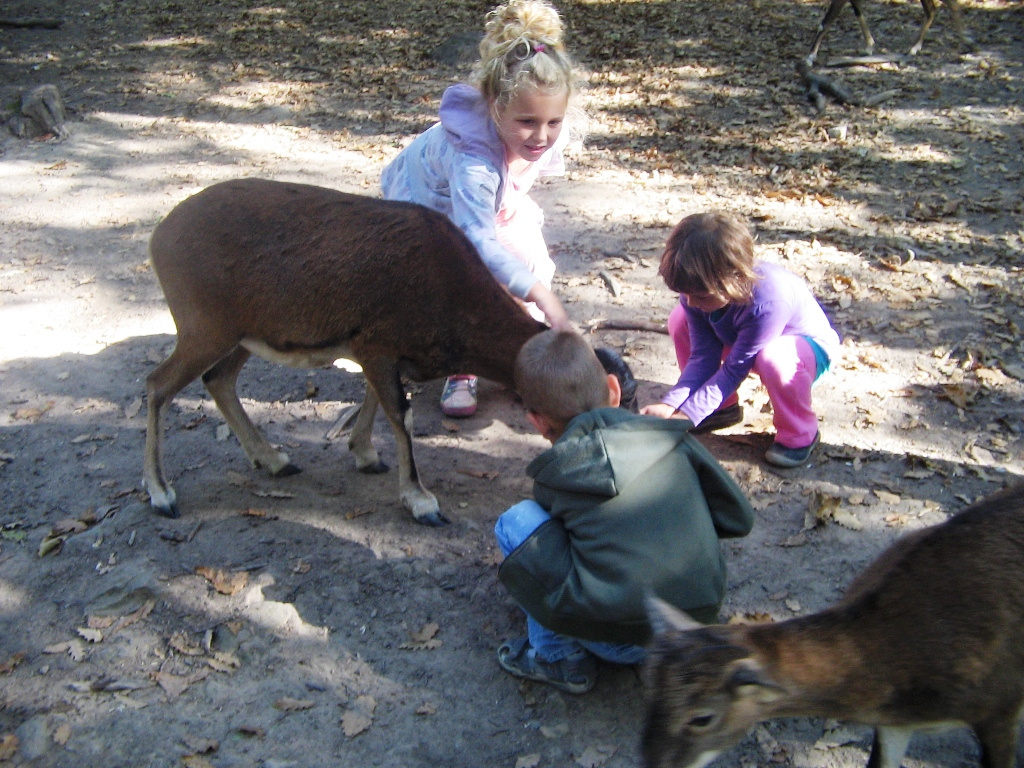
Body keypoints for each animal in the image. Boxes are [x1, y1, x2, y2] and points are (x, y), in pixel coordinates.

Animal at [143, 180, 630, 528]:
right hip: (204, 329)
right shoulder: (376, 345)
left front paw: (365, 455)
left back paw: (275, 460)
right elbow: (401, 413)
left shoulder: (379, 352)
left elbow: (376, 399)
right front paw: (421, 502)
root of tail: (160, 236)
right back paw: (162, 494)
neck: (449, 289)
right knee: (157, 385)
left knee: (218, 379)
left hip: (241, 335)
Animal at [802, 0, 970, 64]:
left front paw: (810, 57)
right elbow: (857, 10)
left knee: (947, 7)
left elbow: (825, 23)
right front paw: (869, 46)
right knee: (934, 10)